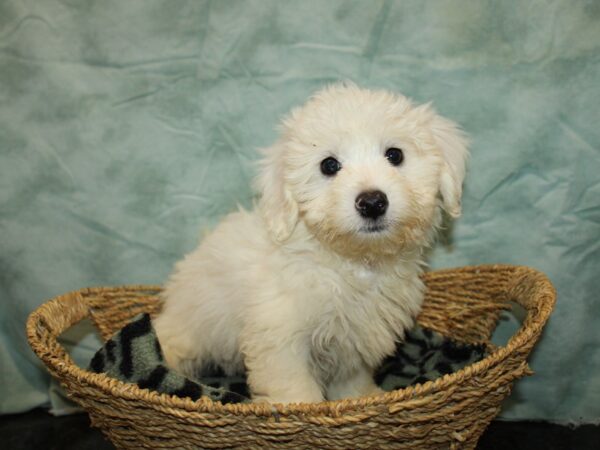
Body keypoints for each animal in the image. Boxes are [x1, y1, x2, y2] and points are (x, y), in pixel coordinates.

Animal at [154, 83, 468, 404]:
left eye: (395, 155)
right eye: (329, 165)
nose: (372, 202)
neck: (353, 263)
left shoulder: (353, 338)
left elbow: (351, 379)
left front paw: (360, 398)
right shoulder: (281, 340)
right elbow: (294, 389)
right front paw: (301, 410)